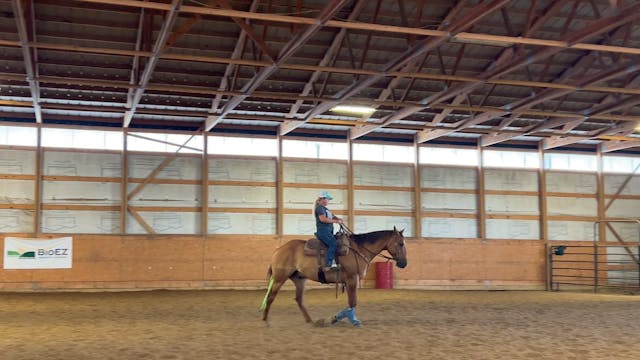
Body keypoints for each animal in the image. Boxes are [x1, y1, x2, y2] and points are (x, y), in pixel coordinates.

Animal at [258, 226, 404, 328]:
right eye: (401, 243)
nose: (404, 263)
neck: (358, 250)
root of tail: (279, 250)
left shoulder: (351, 281)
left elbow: (351, 303)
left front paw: (335, 318)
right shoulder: (352, 279)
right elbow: (353, 302)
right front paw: (351, 320)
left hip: (299, 279)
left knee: (299, 300)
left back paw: (311, 321)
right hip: (279, 278)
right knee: (270, 297)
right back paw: (265, 321)